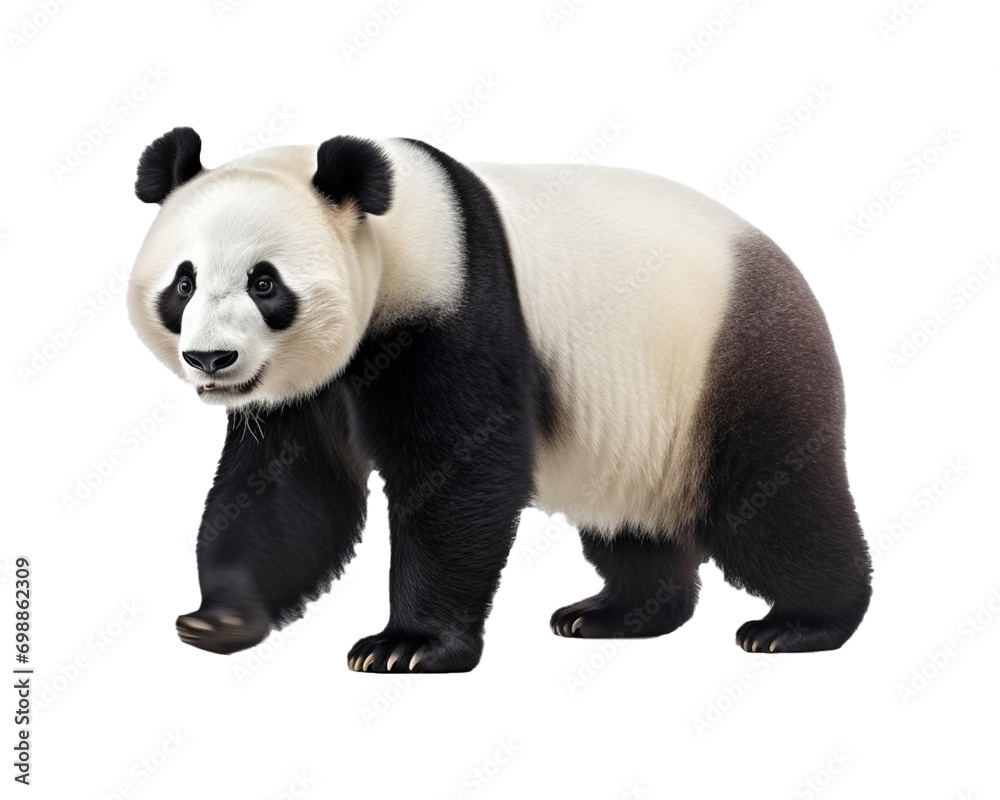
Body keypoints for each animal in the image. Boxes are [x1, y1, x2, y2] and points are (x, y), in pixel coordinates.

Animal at [127, 127, 872, 672]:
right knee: (632, 526)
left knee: (773, 503)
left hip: (729, 363)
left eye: (265, 283)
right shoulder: (304, 385)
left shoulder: (454, 304)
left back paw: (802, 624)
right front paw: (221, 616)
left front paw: (407, 646)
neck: (395, 230)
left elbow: (460, 474)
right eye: (183, 283)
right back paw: (614, 615)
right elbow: (289, 489)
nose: (211, 360)